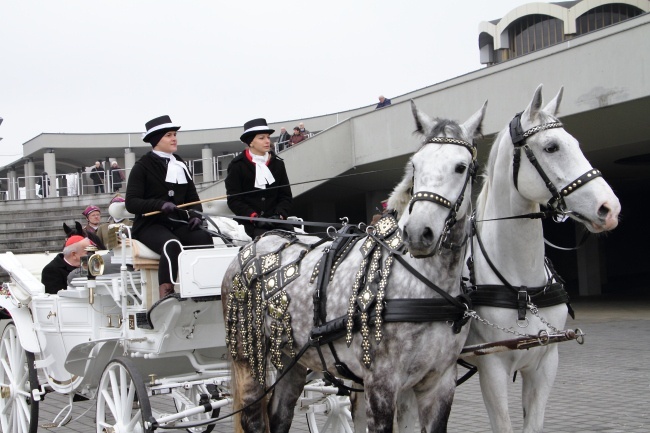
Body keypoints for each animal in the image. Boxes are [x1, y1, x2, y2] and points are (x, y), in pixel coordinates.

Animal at [464, 84, 620, 432]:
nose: (610, 208)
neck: (523, 288)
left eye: (576, 143)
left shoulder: (545, 362)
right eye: (551, 147)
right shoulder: (491, 367)